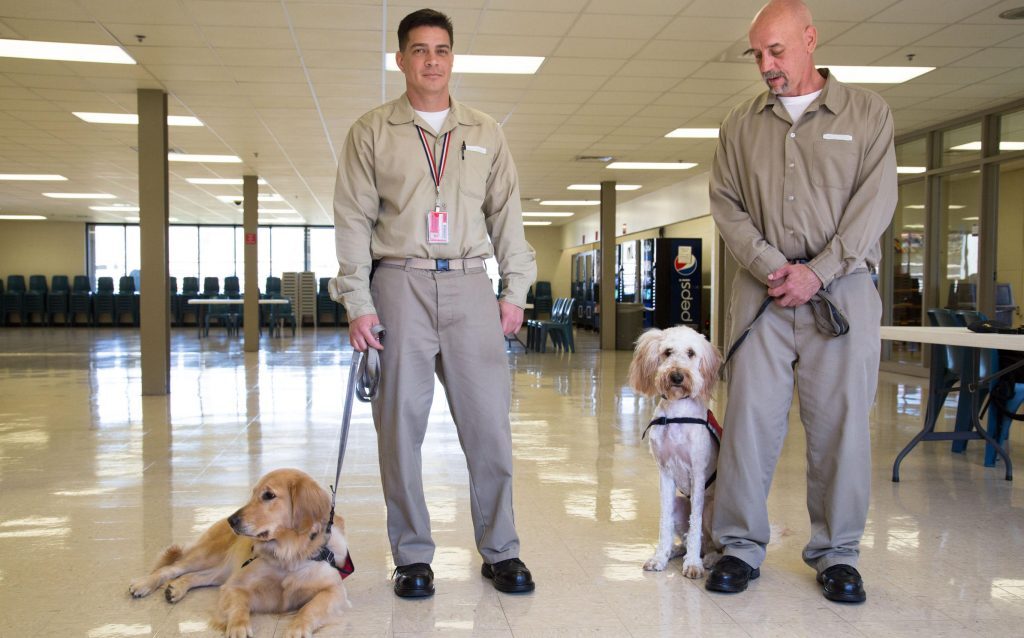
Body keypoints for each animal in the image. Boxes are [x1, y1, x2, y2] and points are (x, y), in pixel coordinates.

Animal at [626, 323, 724, 577]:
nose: (677, 376)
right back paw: (677, 550)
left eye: (691, 353)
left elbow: (696, 521)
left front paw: (693, 565)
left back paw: (708, 559)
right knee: (690, 536)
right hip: (681, 504)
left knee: (714, 544)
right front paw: (660, 556)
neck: (677, 413)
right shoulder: (665, 472)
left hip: (714, 510)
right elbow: (665, 521)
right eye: (667, 352)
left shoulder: (698, 473)